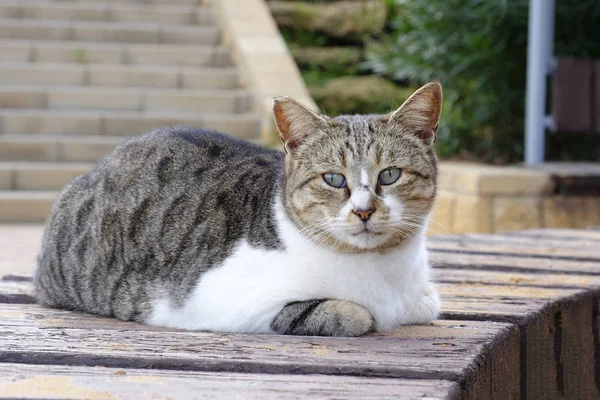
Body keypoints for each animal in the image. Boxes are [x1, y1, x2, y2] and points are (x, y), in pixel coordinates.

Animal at [35, 82, 442, 338]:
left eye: (389, 175)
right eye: (333, 179)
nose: (363, 211)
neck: (383, 271)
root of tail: (92, 171)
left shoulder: (425, 297)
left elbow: (427, 302)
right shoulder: (214, 300)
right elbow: (345, 313)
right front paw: (358, 313)